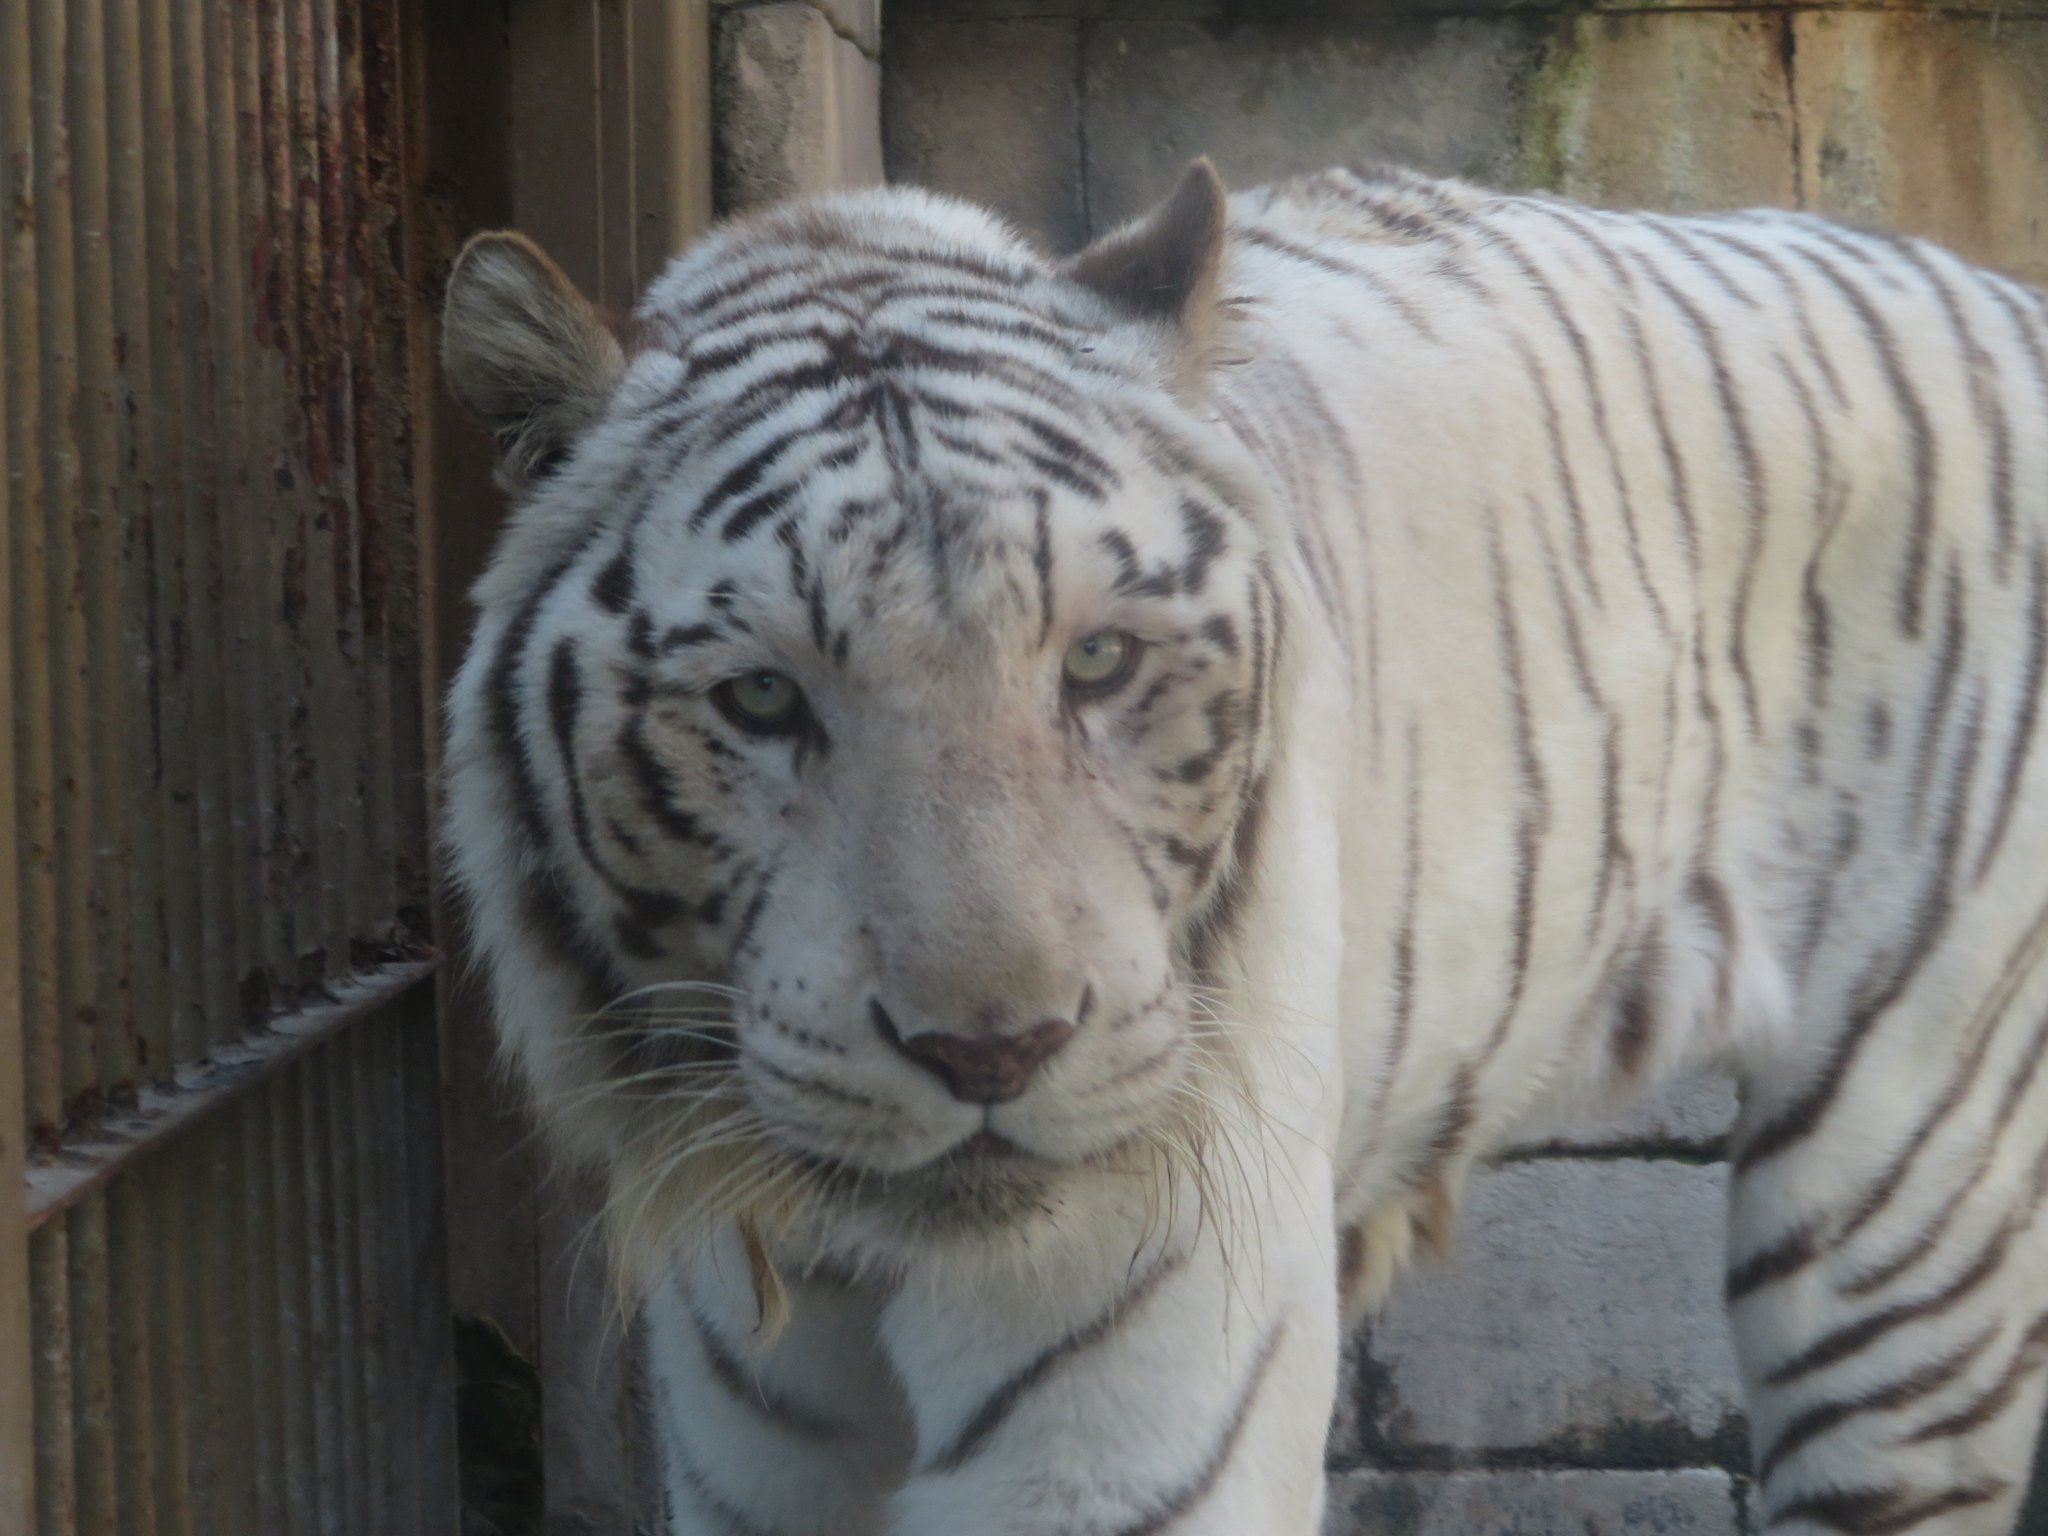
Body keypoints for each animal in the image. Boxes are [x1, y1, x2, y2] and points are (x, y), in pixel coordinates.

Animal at [438, 157, 2048, 1533]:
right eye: (763, 699)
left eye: (1095, 662)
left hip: (1908, 1209)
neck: (866, 1267)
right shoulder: (747, 1449)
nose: (993, 1052)